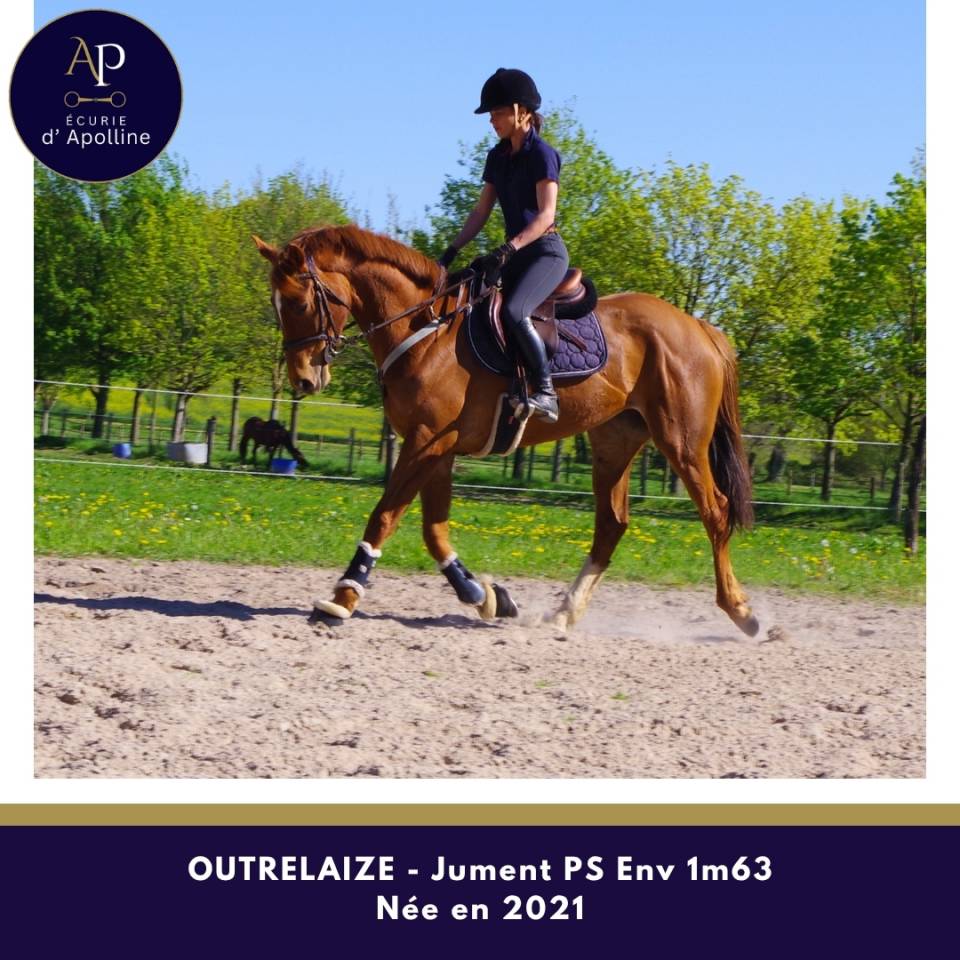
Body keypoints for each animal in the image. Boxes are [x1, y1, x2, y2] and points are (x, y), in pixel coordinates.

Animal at [253, 224, 759, 636]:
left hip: (682, 440)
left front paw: (342, 598)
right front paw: (486, 597)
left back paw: (742, 612)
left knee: (715, 511)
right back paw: (564, 612)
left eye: (298, 303)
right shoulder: (436, 448)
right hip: (615, 440)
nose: (304, 379)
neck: (425, 329)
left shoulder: (427, 442)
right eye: (276, 307)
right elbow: (434, 531)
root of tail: (697, 325)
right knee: (612, 523)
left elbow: (384, 518)